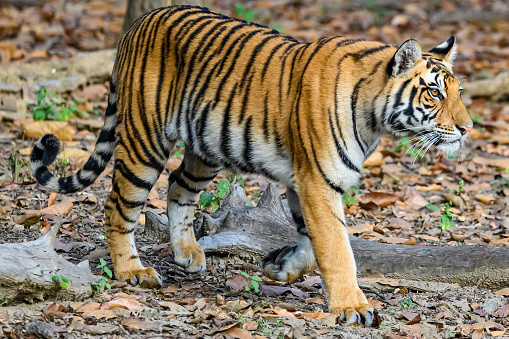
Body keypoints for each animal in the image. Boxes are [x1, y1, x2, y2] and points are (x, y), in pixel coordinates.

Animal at [28, 4, 472, 326]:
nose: (467, 128)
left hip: (206, 147)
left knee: (178, 186)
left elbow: (311, 243)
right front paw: (353, 307)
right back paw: (132, 271)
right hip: (145, 140)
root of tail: (138, 23)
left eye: (458, 92)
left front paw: (280, 269)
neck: (375, 116)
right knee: (119, 204)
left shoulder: (302, 180)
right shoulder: (317, 179)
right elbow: (336, 247)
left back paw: (188, 253)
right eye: (434, 93)